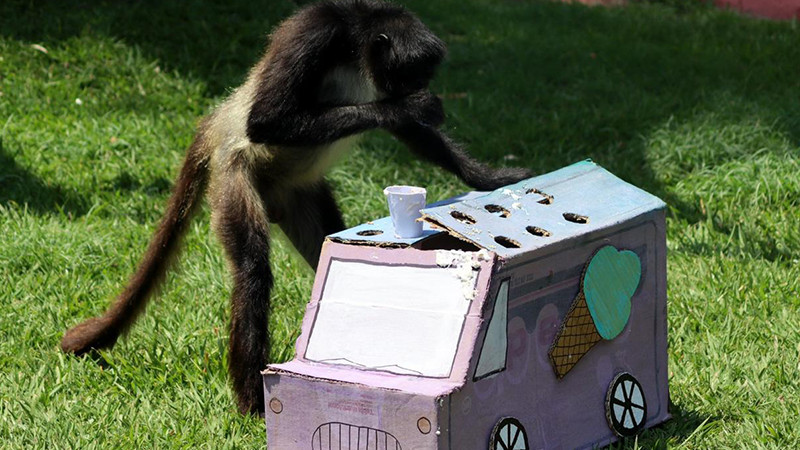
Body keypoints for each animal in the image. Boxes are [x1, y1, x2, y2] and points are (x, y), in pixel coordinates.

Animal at [60, 0, 532, 415]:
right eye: (410, 78)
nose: (417, 89)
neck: (356, 39)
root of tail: (216, 124)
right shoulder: (314, 31)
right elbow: (267, 120)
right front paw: (405, 106)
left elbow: (414, 132)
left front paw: (489, 178)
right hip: (236, 178)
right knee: (252, 268)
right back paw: (253, 404)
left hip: (298, 194)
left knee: (325, 246)